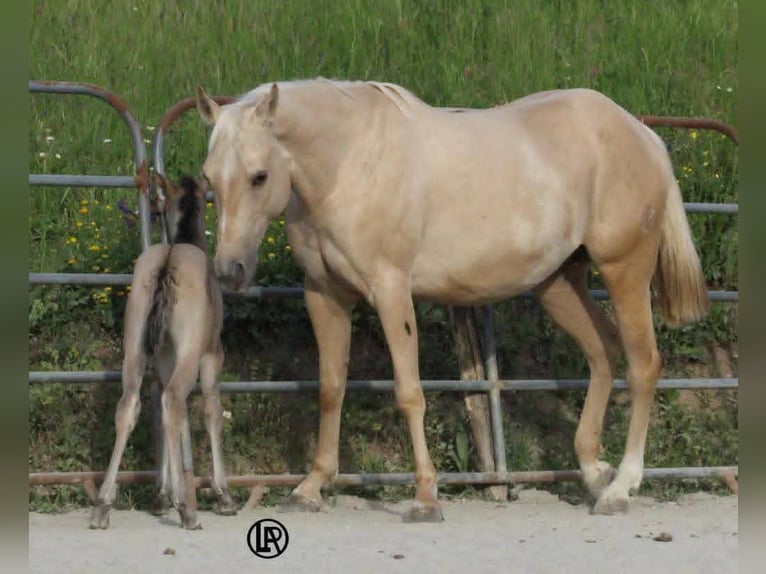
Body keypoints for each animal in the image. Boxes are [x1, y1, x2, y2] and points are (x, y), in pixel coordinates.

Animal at [89, 173, 237, 530]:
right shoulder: (211, 353)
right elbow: (211, 411)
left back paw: (103, 505)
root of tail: (167, 264)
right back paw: (188, 510)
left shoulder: (164, 356)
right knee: (172, 400)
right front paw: (221, 495)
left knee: (130, 405)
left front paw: (161, 494)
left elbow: (171, 418)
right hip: (190, 350)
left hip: (134, 346)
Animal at [195, 79, 709, 522]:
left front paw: (426, 497)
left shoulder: (391, 291)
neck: (349, 162)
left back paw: (621, 487)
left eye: (259, 176)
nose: (229, 270)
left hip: (625, 272)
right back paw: (593, 470)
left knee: (643, 365)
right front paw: (310, 487)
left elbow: (409, 394)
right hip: (558, 282)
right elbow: (330, 389)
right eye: (209, 179)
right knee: (603, 350)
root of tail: (642, 133)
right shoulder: (325, 295)